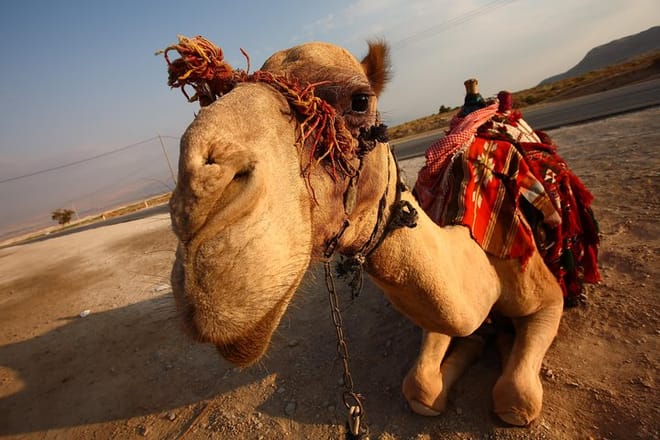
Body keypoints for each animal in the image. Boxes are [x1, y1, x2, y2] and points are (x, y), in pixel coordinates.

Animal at [162, 36, 572, 428]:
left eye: (360, 101)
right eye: (216, 94)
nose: (195, 211)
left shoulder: (549, 298)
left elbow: (516, 399)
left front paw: (498, 342)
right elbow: (421, 386)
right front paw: (477, 343)